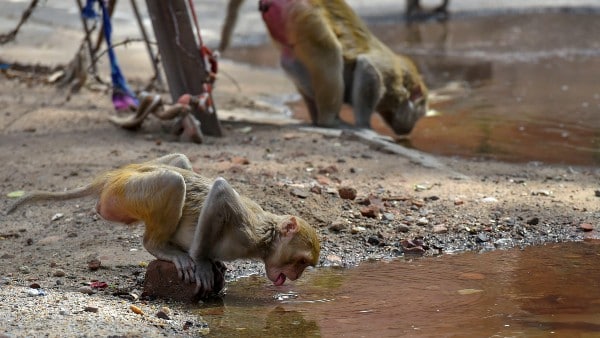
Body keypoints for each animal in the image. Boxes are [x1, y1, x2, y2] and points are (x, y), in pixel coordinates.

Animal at [7, 153, 322, 296]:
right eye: (300, 262)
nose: (296, 277)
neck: (266, 239)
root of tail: (115, 175)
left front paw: (214, 263)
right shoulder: (248, 231)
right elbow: (220, 191)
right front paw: (202, 262)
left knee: (179, 162)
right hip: (127, 193)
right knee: (174, 181)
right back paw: (161, 247)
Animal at [260, 0, 428, 135]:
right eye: (419, 115)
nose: (409, 130)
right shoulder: (389, 72)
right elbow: (367, 68)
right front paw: (364, 125)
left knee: (289, 61)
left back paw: (317, 118)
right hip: (305, 12)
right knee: (329, 54)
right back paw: (329, 120)